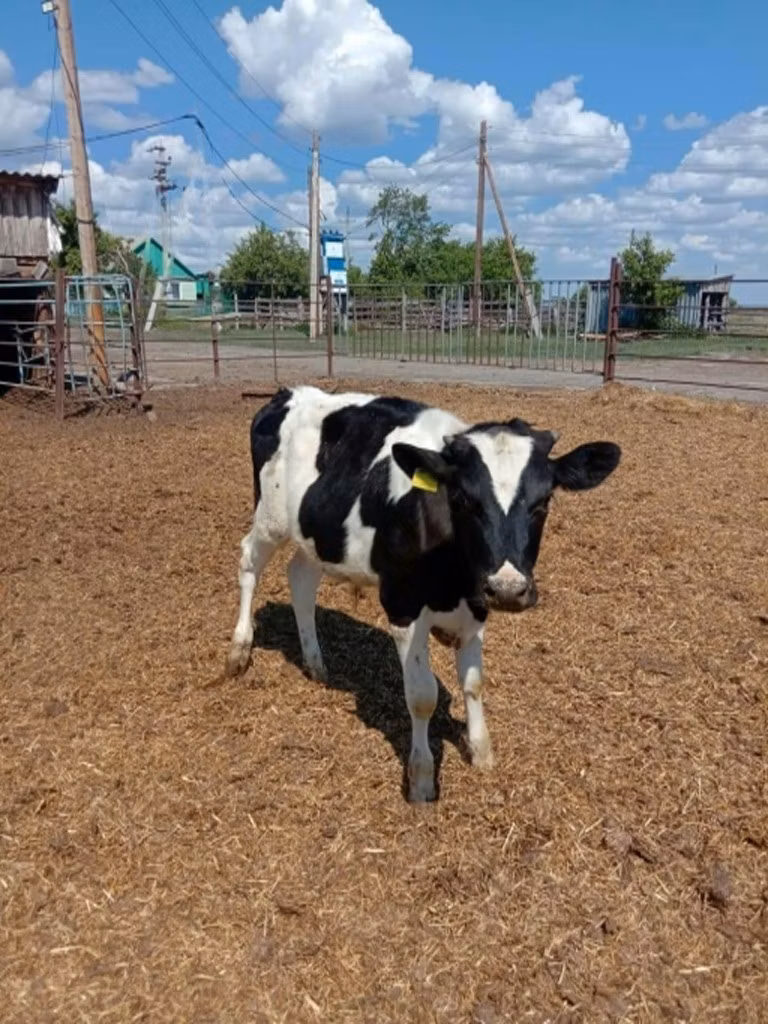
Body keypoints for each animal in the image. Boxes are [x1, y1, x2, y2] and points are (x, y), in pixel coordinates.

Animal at [226, 385, 621, 802]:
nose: (508, 589)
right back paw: (239, 652)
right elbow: (421, 696)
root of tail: (289, 392)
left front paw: (481, 753)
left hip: (316, 535)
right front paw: (421, 778)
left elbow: (473, 682)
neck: (453, 578)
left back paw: (316, 664)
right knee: (248, 563)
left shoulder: (477, 604)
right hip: (269, 519)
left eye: (543, 502)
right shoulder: (401, 605)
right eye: (463, 499)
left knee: (301, 579)